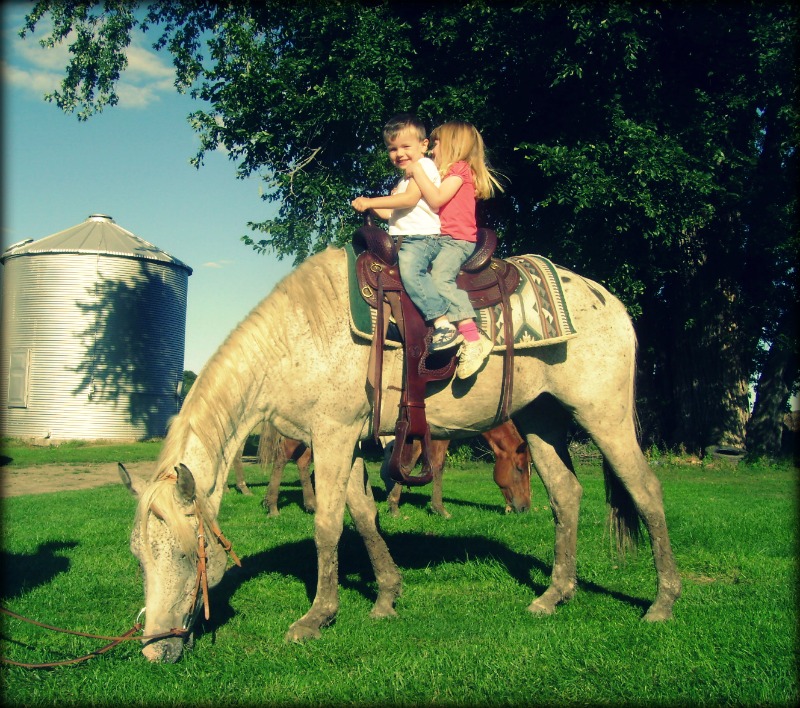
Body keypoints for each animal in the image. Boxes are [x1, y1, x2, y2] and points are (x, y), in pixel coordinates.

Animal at [122, 246, 680, 660]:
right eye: (138, 557)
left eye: (185, 553)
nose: (153, 649)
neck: (299, 336)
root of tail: (612, 303)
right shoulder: (344, 441)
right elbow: (364, 515)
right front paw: (387, 596)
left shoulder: (332, 434)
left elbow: (328, 525)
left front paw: (316, 617)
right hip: (541, 419)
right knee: (566, 495)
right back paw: (552, 596)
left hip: (604, 415)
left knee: (646, 491)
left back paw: (662, 603)